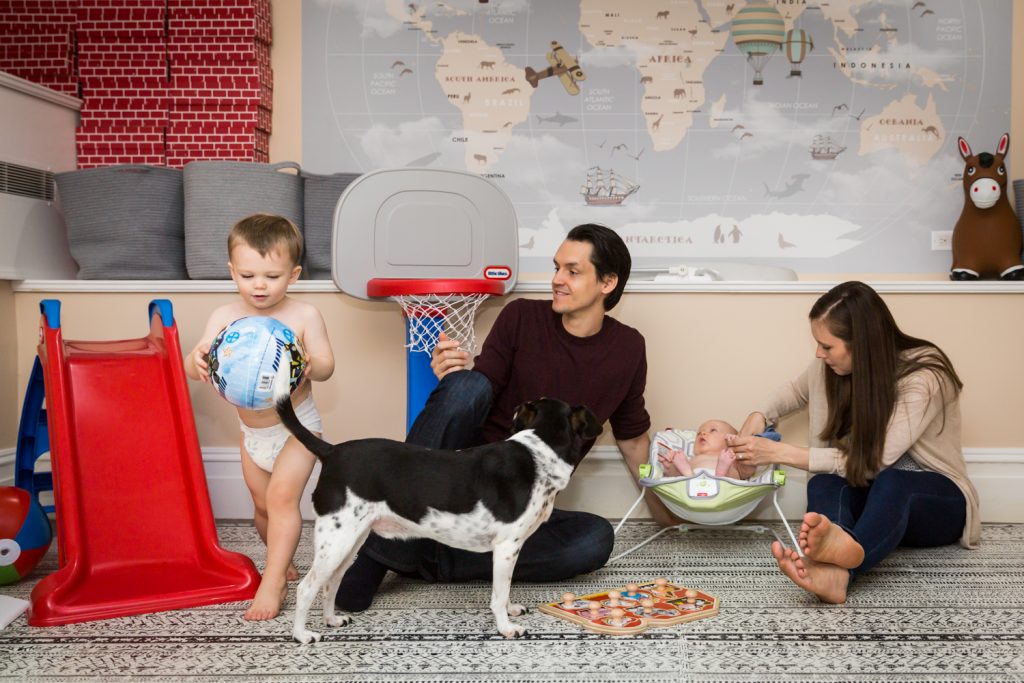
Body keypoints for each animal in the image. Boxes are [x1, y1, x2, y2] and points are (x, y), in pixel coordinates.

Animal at [276, 366, 602, 643]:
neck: (540, 453)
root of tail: (331, 452)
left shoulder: (511, 550)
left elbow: (506, 590)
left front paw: (510, 611)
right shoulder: (507, 546)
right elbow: (499, 594)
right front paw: (506, 627)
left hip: (350, 539)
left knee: (330, 583)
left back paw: (332, 620)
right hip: (337, 540)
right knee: (306, 587)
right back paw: (302, 635)